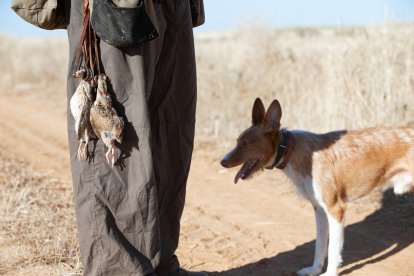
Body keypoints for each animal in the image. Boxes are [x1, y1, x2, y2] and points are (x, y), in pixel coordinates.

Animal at [220, 98, 414, 274]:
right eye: (237, 141)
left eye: (245, 143)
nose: (222, 161)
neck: (292, 150)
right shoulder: (319, 209)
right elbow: (320, 246)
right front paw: (314, 270)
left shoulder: (336, 209)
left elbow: (333, 250)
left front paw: (330, 273)